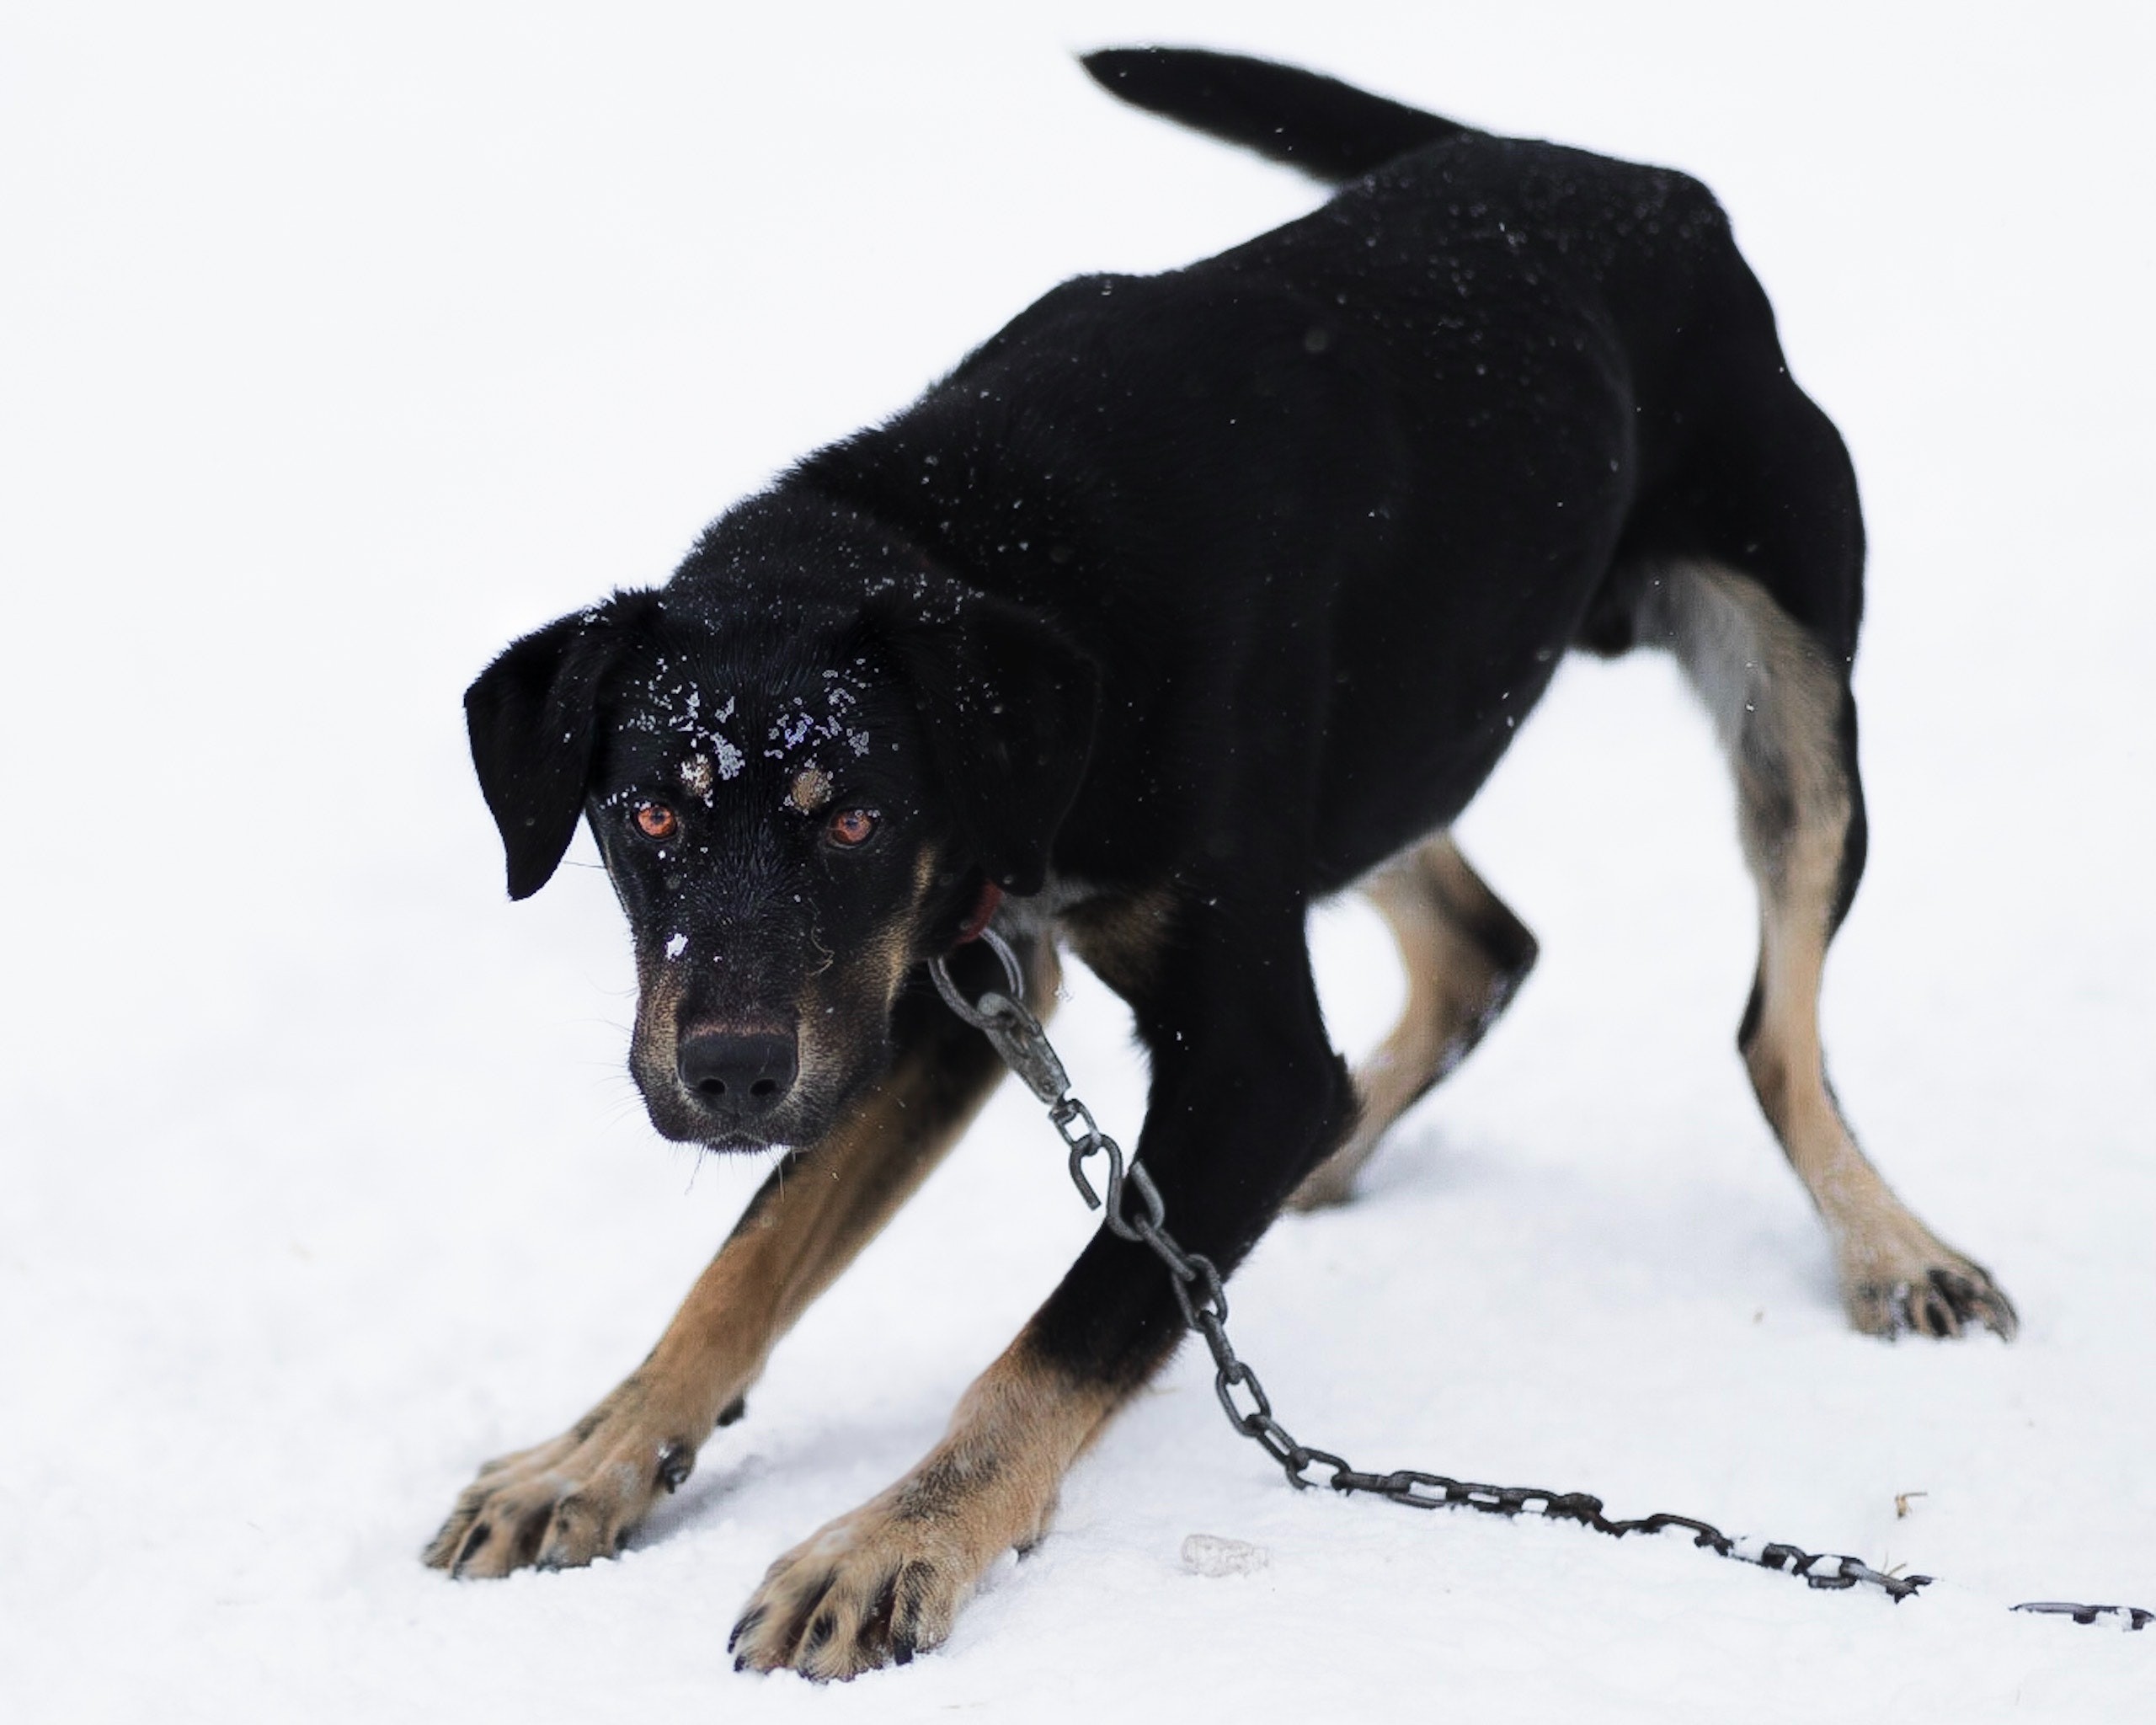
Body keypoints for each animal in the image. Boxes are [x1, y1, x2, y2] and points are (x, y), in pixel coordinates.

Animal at [424, 51, 2018, 1673]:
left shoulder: (1222, 1054)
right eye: (648, 819)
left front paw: (895, 1541)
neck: (1002, 558)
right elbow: (745, 1262)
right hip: (1394, 740)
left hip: (1792, 701)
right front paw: (597, 1453)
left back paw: (1891, 1248)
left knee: (1774, 1024)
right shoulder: (946, 983)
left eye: (858, 816)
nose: (731, 1075)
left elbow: (1062, 1331)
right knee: (1481, 944)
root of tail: (1637, 183)